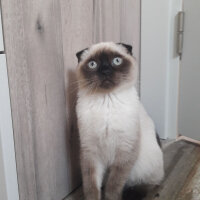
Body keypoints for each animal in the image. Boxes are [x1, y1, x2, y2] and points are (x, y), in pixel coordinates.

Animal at [75, 42, 164, 200]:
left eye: (116, 61)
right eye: (93, 64)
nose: (105, 71)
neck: (106, 100)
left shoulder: (125, 151)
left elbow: (113, 185)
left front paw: (111, 197)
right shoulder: (90, 151)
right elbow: (91, 186)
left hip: (144, 171)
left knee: (148, 185)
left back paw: (133, 193)